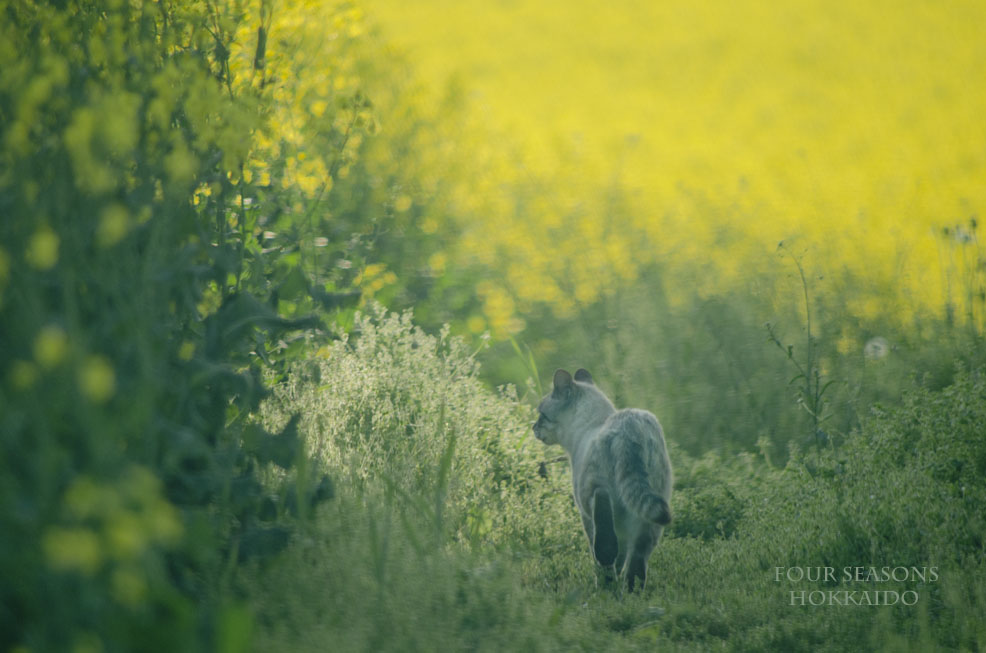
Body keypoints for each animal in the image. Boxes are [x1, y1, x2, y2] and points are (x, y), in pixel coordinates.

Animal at [536, 366, 672, 592]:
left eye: (541, 415)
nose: (533, 427)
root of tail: (630, 425)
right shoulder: (625, 527)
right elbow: (623, 556)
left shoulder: (585, 513)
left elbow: (600, 547)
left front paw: (605, 580)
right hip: (650, 515)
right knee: (637, 561)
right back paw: (631, 593)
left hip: (594, 489)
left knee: (604, 544)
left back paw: (605, 586)